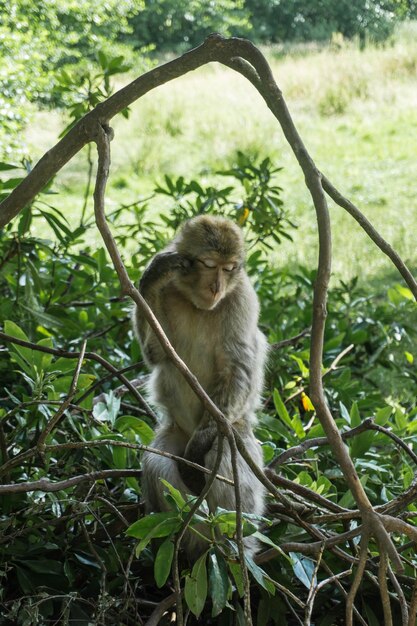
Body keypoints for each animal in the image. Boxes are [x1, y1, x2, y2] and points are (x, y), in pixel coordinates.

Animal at [135, 214, 268, 556]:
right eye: (209, 264)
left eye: (229, 268)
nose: (216, 286)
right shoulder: (170, 289)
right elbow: (156, 353)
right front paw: (150, 277)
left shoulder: (242, 297)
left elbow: (237, 368)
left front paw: (201, 443)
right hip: (174, 431)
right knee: (158, 463)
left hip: (238, 429)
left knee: (225, 452)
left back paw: (229, 544)